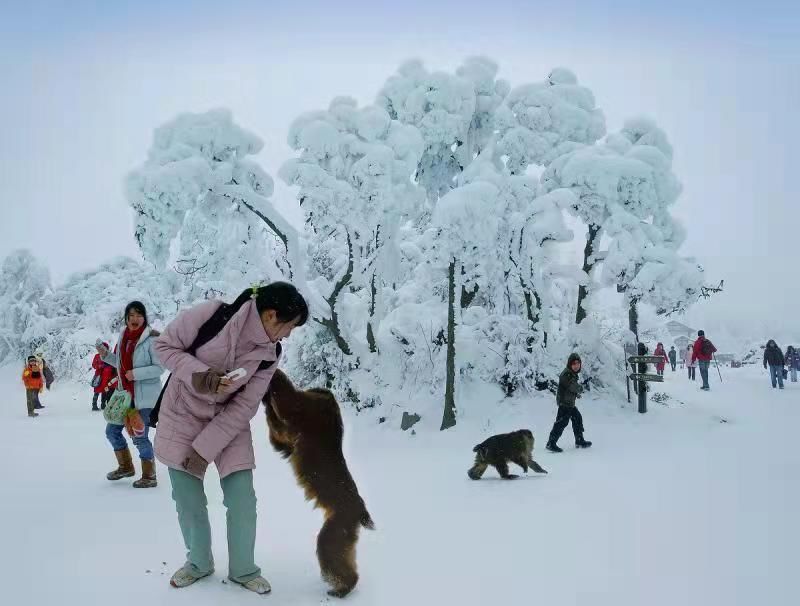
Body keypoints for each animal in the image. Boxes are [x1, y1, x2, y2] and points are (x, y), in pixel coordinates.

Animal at [264, 370, 374, 600]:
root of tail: (360, 510)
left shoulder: (307, 414)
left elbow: (288, 403)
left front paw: (272, 377)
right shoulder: (293, 433)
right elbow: (279, 437)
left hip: (336, 528)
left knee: (328, 550)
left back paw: (340, 588)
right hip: (343, 531)